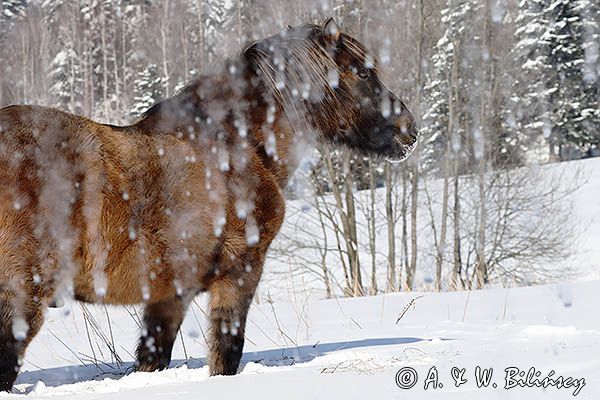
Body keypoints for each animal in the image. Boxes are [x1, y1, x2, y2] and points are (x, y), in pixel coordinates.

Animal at [0, 18, 418, 390]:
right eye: (361, 73)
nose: (410, 131)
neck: (236, 145)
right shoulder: (240, 272)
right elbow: (225, 352)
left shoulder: (170, 294)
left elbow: (153, 357)